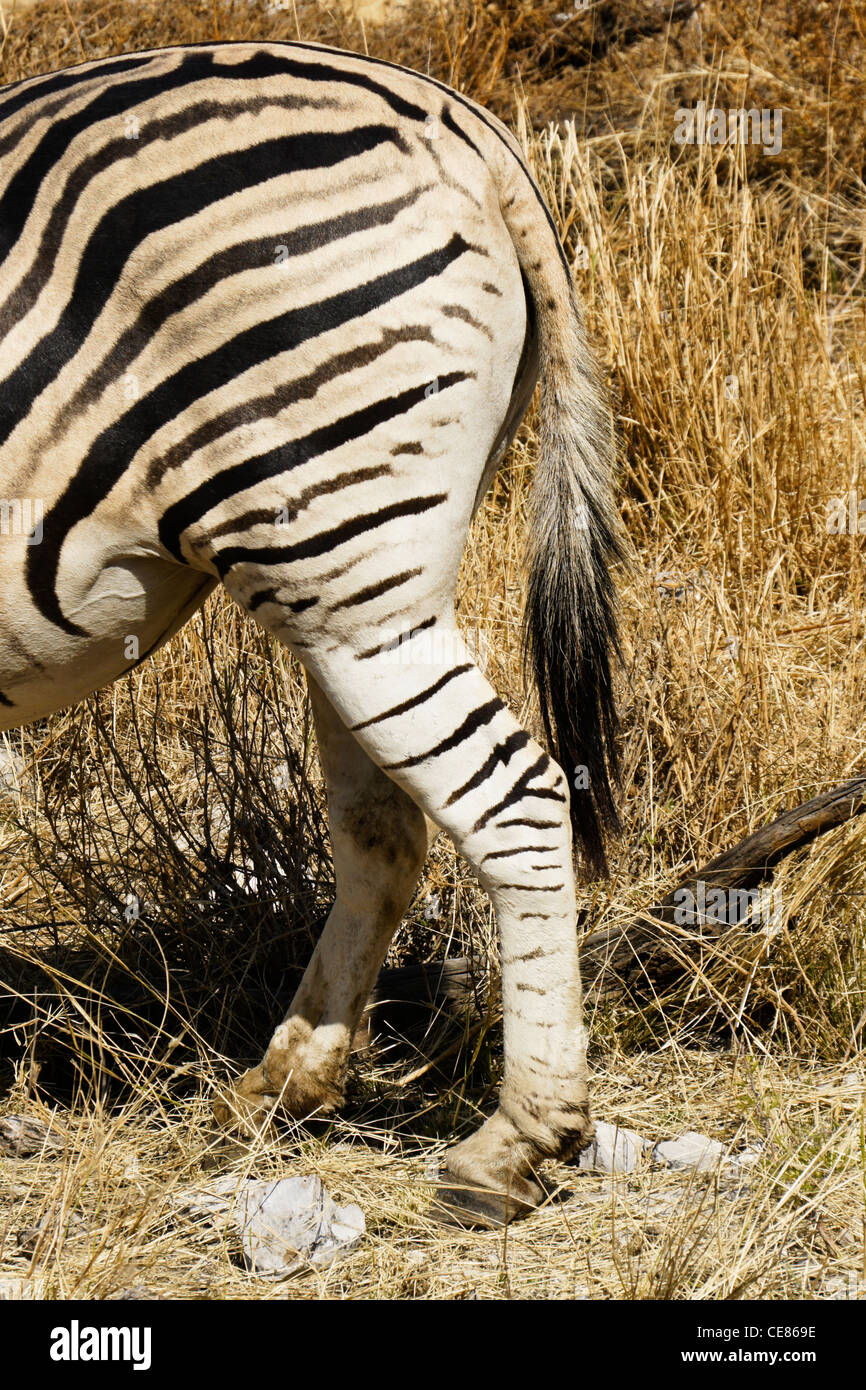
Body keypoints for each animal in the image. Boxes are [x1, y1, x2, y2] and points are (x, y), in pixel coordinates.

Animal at [0, 39, 622, 1226]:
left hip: (340, 546)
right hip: (350, 586)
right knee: (387, 828)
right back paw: (286, 1083)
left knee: (514, 796)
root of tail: (465, 128)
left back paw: (513, 1146)